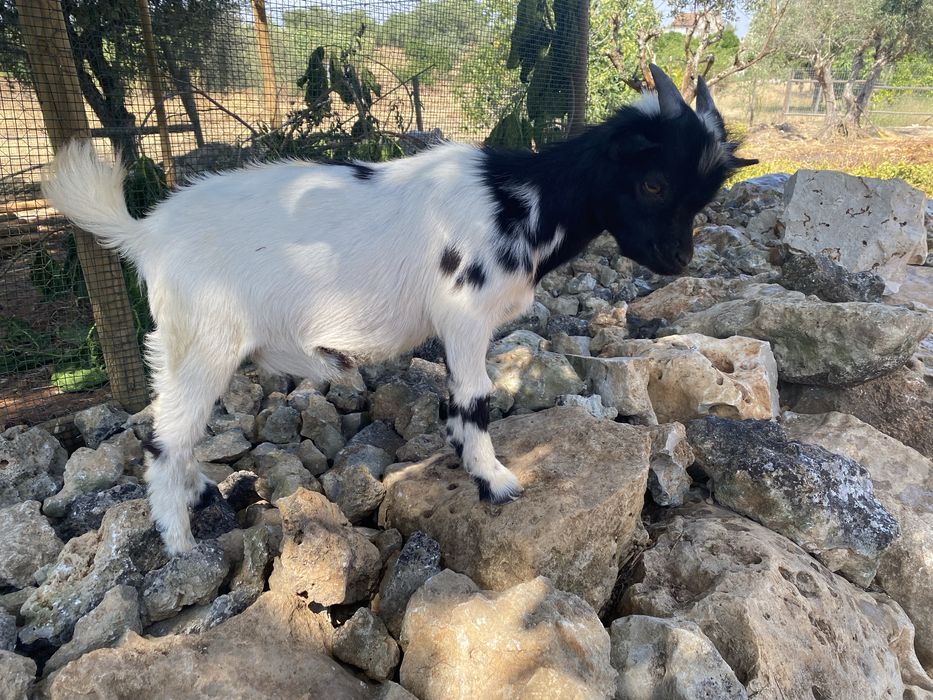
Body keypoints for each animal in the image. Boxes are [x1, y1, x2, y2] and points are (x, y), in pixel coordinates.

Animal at [44, 65, 756, 555]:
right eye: (653, 181)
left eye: (705, 194)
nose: (678, 260)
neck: (523, 198)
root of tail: (146, 233)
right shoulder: (464, 314)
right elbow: (475, 396)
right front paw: (494, 479)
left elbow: (456, 402)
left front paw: (462, 457)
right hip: (205, 337)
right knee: (166, 436)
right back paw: (181, 544)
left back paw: (196, 495)